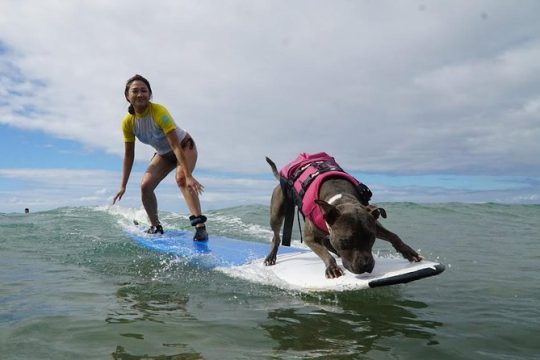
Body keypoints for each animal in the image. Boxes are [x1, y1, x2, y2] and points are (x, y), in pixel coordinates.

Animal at [264, 157, 424, 278]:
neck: (341, 198)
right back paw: (271, 257)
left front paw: (409, 253)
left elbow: (393, 236)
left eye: (371, 239)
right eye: (346, 241)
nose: (365, 266)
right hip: (277, 212)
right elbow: (324, 253)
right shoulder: (310, 237)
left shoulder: (373, 221)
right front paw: (332, 268)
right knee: (276, 236)